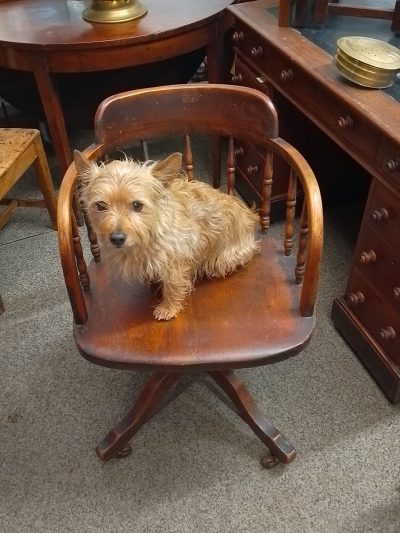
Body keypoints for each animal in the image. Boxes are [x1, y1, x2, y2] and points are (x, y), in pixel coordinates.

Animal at [76, 150, 260, 318]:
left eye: (137, 205)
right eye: (100, 205)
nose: (116, 238)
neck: (149, 232)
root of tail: (251, 216)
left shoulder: (176, 261)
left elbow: (173, 285)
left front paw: (168, 308)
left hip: (227, 258)